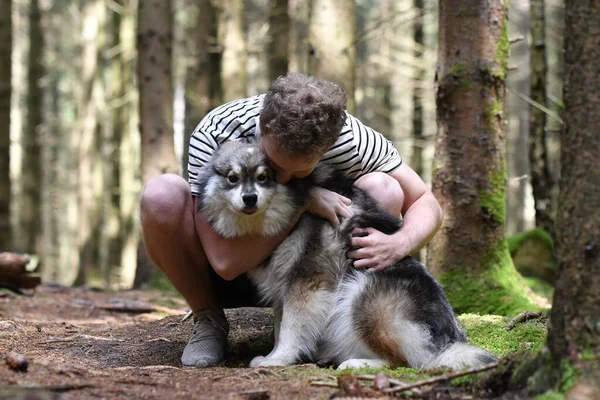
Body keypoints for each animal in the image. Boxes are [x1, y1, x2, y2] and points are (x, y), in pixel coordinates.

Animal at [195, 141, 494, 372]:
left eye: (263, 177)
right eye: (232, 178)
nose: (250, 198)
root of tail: (448, 340)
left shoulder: (308, 282)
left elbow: (291, 329)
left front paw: (277, 360)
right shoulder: (284, 286)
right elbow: (282, 326)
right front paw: (278, 355)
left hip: (362, 296)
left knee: (406, 362)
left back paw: (356, 363)